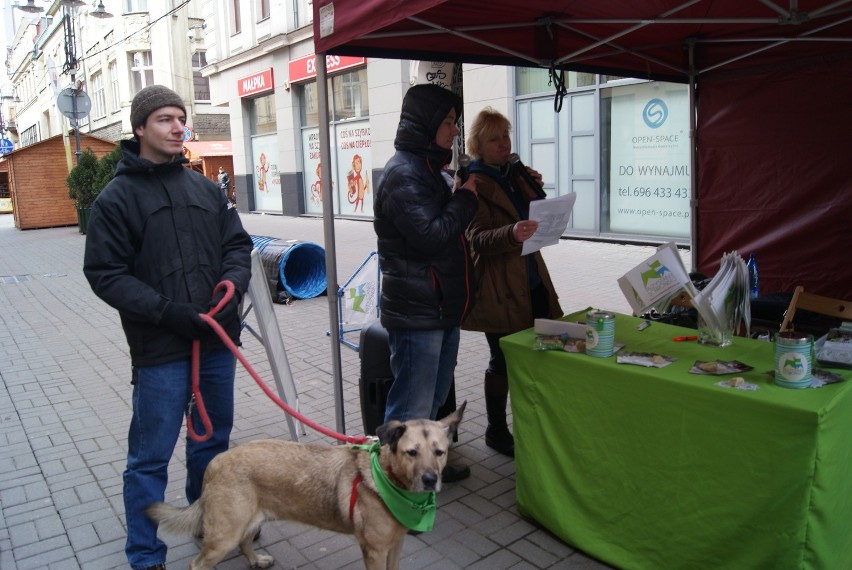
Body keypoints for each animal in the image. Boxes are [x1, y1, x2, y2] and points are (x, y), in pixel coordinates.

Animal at [146, 402, 466, 564]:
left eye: (440, 452)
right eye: (412, 452)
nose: (430, 480)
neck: (387, 479)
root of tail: (215, 463)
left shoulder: (395, 545)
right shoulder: (374, 550)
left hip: (246, 523)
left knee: (245, 543)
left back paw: (256, 560)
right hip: (224, 535)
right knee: (198, 563)